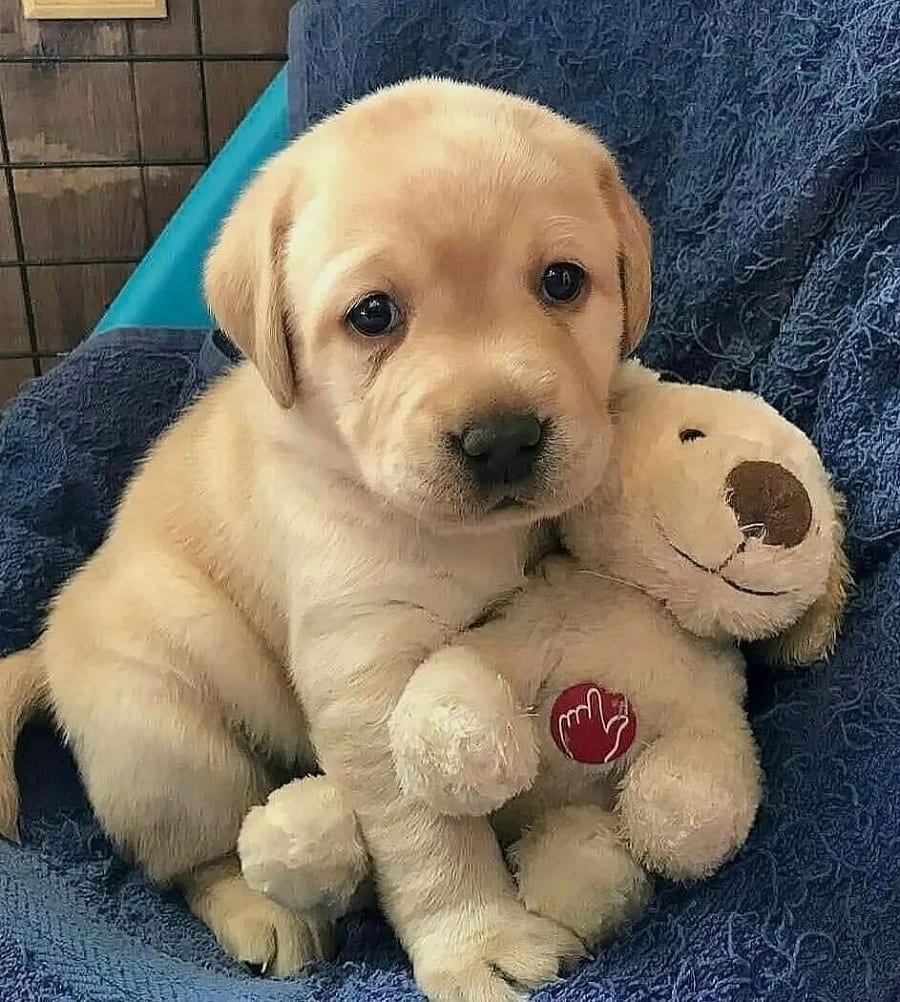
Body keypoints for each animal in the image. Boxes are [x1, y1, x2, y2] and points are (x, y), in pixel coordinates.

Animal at [0, 80, 649, 1002]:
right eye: (372, 315)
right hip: (167, 736)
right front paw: (478, 939)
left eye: (563, 281)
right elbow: (430, 830)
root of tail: (45, 652)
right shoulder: (366, 664)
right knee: (196, 858)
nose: (503, 440)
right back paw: (261, 913)